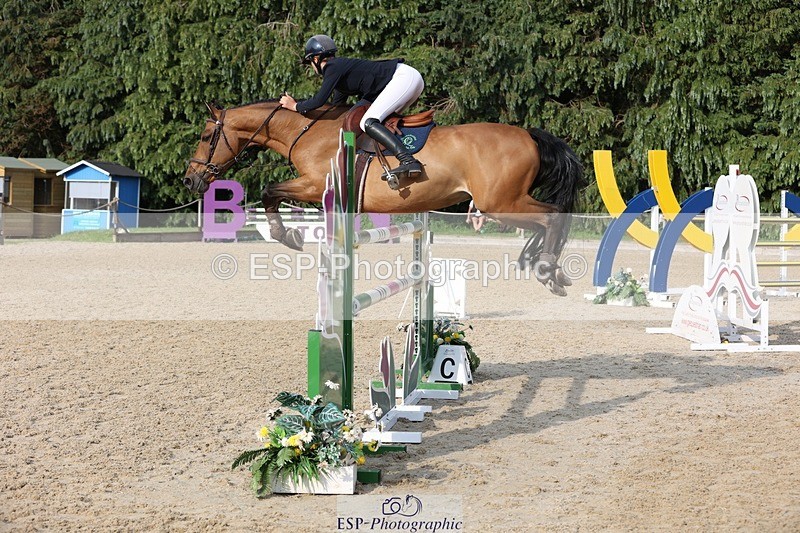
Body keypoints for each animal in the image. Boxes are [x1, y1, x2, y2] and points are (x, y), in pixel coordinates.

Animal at [184, 100, 585, 296]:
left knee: (551, 215)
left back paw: (547, 268)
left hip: (500, 203)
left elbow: (269, 192)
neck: (306, 132)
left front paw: (288, 236)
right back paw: (544, 265)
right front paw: (290, 234)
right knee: (550, 216)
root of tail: (529, 135)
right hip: (505, 202)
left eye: (205, 137)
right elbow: (271, 194)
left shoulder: (315, 185)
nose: (190, 180)